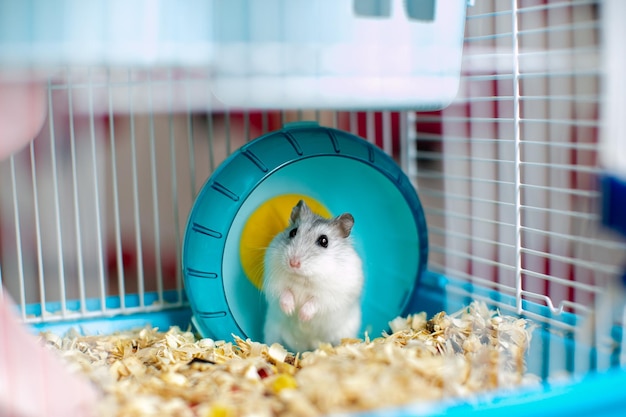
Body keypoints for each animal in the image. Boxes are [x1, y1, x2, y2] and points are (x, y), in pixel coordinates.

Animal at [262, 198, 364, 352]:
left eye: (324, 241)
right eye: (293, 232)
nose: (293, 263)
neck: (303, 279)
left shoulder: (331, 296)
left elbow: (315, 302)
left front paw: (302, 316)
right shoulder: (276, 283)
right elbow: (285, 293)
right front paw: (290, 310)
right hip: (271, 331)